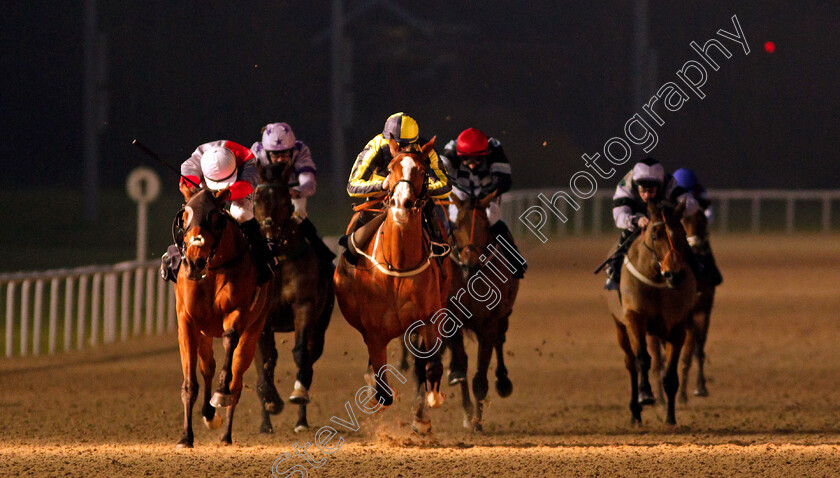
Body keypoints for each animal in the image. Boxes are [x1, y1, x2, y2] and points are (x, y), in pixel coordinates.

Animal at [174, 188, 270, 448]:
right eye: (184, 217)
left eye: (215, 218)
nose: (194, 261)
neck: (213, 269)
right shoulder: (187, 321)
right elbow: (190, 383)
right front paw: (186, 437)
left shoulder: (238, 311)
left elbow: (229, 339)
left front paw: (221, 392)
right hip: (204, 333)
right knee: (208, 366)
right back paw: (208, 414)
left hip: (254, 329)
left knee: (236, 379)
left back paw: (226, 432)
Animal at [253, 162, 334, 436]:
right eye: (256, 197)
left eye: (283, 198)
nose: (268, 230)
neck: (277, 260)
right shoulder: (262, 320)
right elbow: (264, 363)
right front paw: (271, 402)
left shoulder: (304, 306)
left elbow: (301, 354)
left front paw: (298, 394)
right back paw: (265, 423)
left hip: (321, 325)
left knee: (309, 359)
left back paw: (301, 420)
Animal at [334, 136, 452, 436]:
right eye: (390, 168)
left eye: (422, 170)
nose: (401, 203)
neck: (398, 264)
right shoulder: (375, 332)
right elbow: (383, 388)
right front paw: (378, 391)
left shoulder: (428, 320)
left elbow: (430, 367)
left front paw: (429, 405)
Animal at [446, 191, 520, 434]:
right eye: (457, 224)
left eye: (485, 225)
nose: (470, 265)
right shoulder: (450, 317)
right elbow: (461, 362)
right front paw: (469, 413)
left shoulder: (488, 323)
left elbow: (480, 376)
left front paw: (477, 421)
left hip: (504, 315)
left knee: (500, 340)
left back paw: (503, 381)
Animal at [604, 200, 696, 424]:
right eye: (655, 236)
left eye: (681, 233)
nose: (674, 274)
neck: (656, 281)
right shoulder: (634, 318)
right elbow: (642, 359)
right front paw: (645, 395)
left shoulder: (677, 326)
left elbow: (670, 374)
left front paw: (670, 417)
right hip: (620, 328)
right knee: (631, 364)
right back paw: (635, 411)